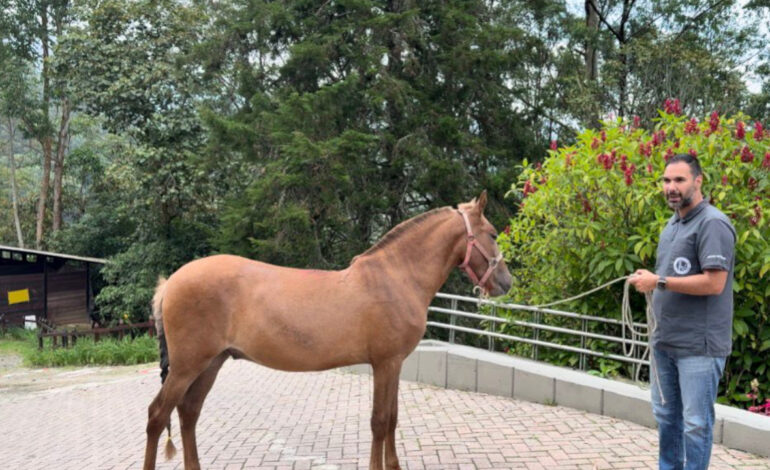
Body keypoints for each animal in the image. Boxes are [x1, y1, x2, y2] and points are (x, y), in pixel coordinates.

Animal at [142, 191, 512, 470]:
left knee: (188, 413)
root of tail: (170, 283)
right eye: (494, 234)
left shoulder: (394, 365)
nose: (506, 282)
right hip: (187, 366)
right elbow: (380, 421)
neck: (396, 276)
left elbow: (392, 419)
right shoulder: (386, 363)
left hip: (211, 363)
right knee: (157, 416)